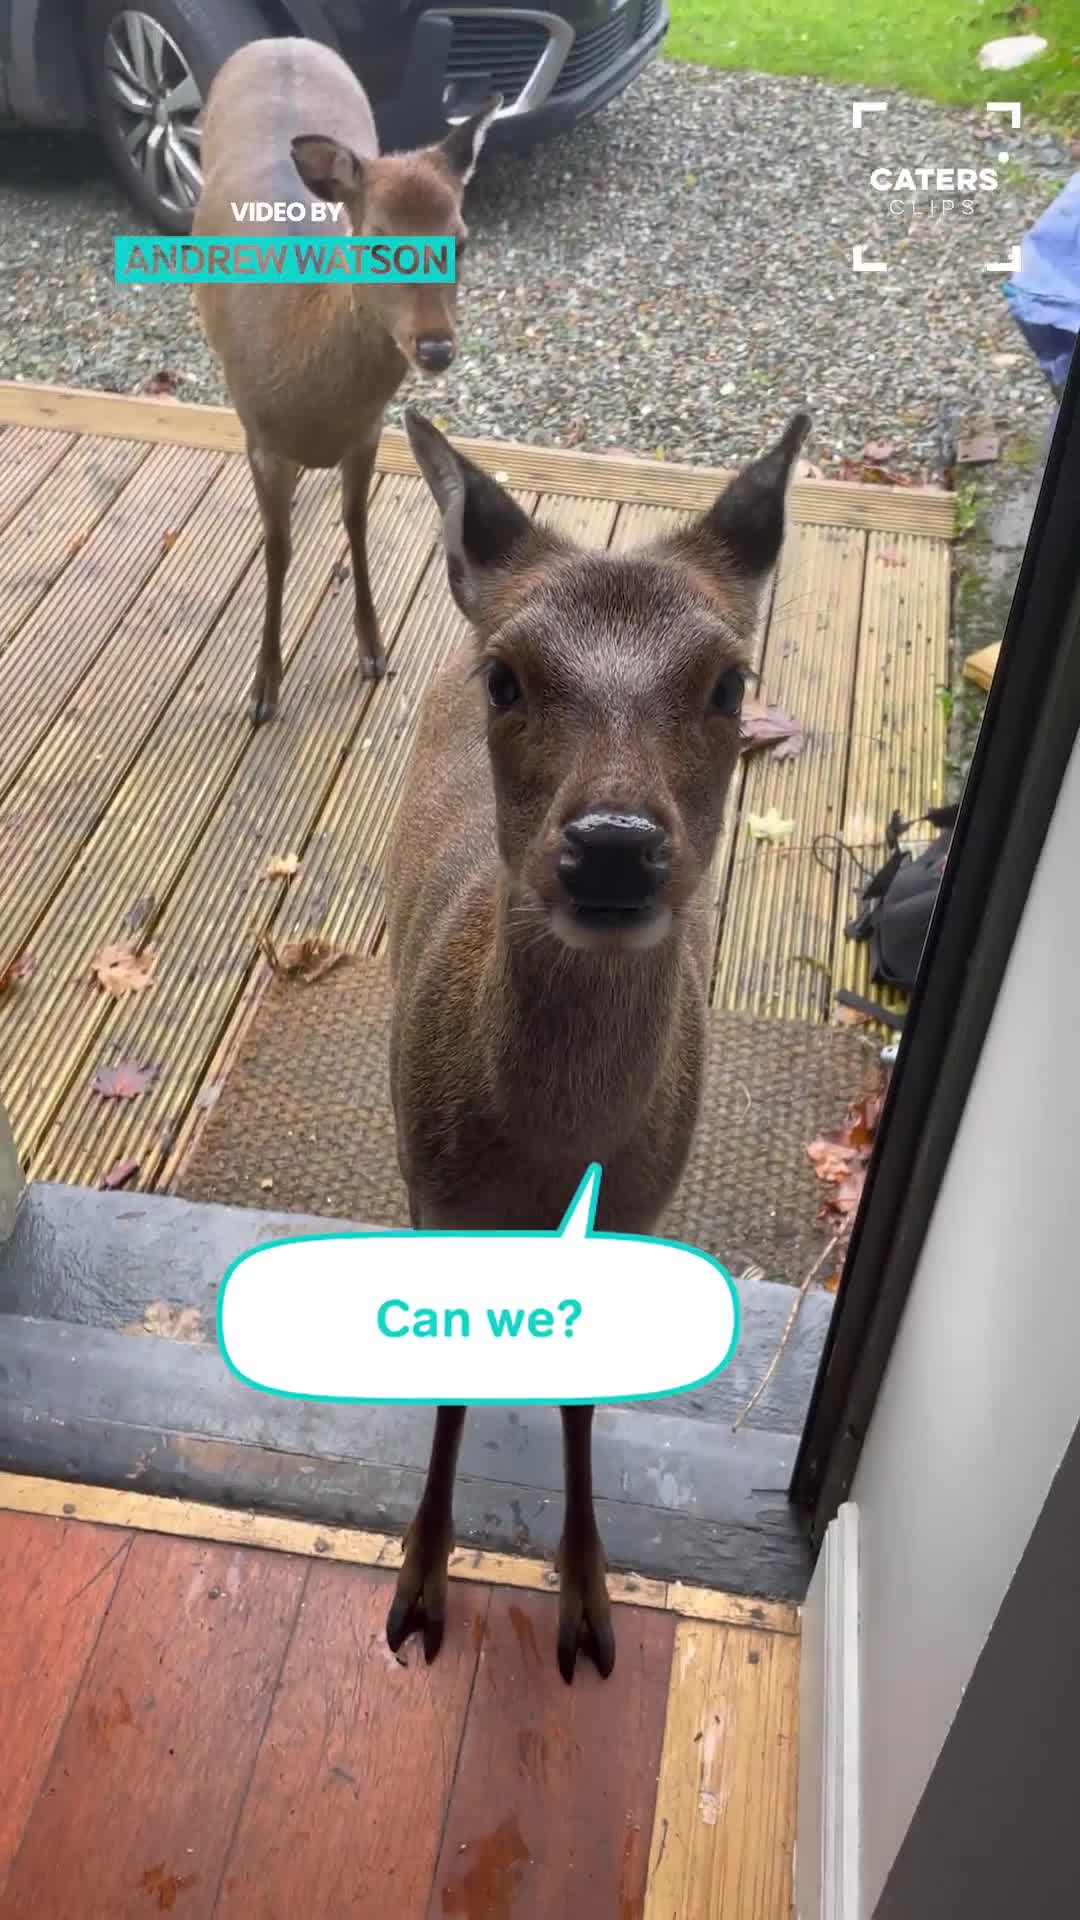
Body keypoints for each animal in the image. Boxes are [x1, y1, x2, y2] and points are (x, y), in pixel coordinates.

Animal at [192, 38, 499, 726]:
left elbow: (355, 525)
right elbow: (276, 549)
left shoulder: (368, 431)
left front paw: (374, 650)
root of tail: (279, 40)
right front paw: (264, 688)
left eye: (461, 240)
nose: (435, 346)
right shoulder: (263, 440)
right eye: (379, 242)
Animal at [385, 405, 810, 1681]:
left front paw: (589, 1598)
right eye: (507, 674)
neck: (546, 1163)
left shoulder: (640, 1211)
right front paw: (420, 1583)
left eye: (729, 679)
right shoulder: (441, 1199)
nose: (615, 846)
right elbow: (454, 1382)